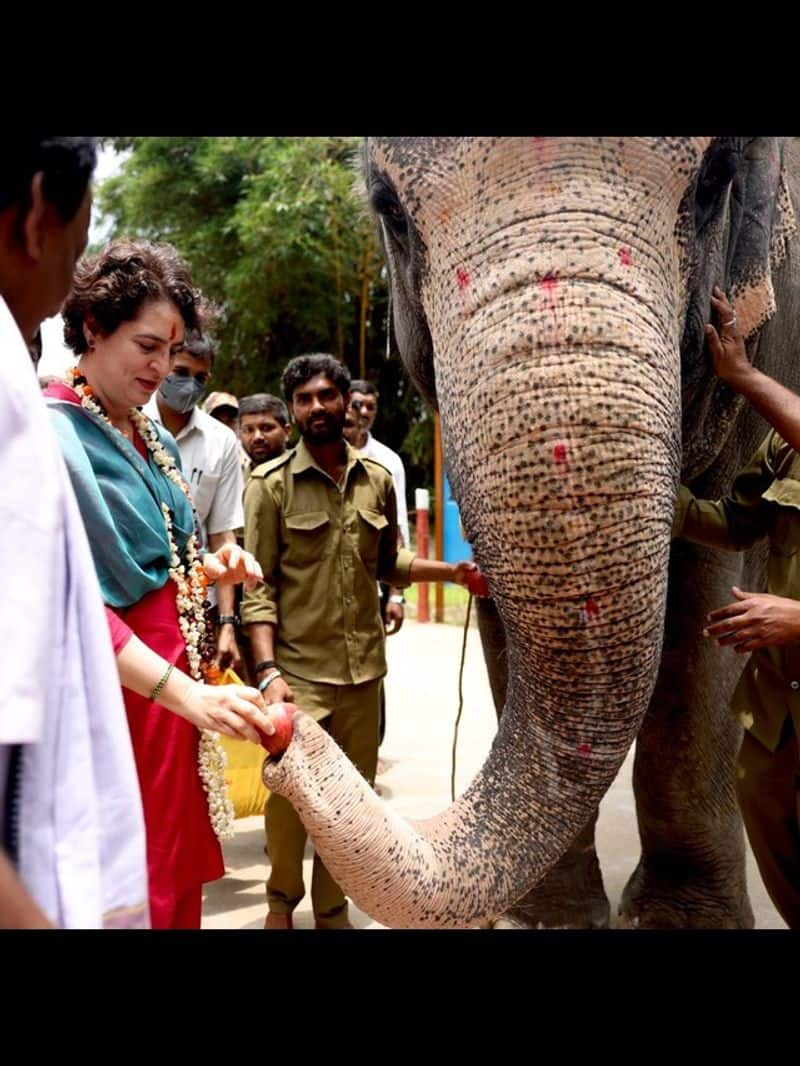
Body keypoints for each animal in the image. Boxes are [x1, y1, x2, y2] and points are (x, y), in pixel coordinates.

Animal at [266, 137, 800, 929]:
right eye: (390, 211)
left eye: (712, 182)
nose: (281, 723)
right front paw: (545, 921)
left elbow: (716, 595)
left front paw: (679, 923)